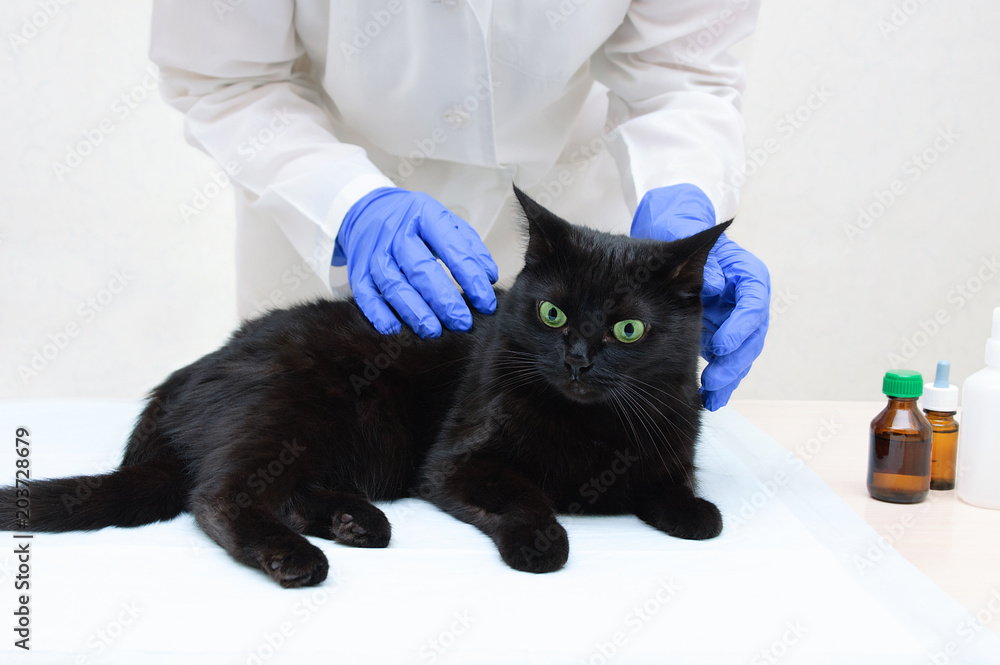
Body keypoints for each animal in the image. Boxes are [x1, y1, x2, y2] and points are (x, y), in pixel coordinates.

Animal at [3, 187, 732, 588]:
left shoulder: (669, 433)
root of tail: (188, 373)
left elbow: (678, 493)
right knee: (217, 495)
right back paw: (297, 556)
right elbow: (523, 491)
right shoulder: (457, 461)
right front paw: (540, 543)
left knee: (284, 491)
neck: (589, 425)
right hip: (294, 408)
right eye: (552, 314)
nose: (578, 359)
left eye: (628, 329)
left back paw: (356, 523)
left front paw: (693, 512)